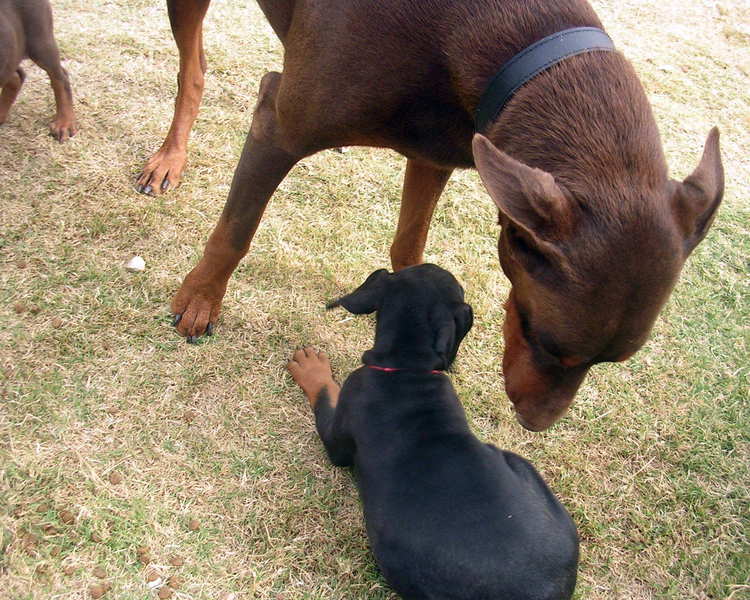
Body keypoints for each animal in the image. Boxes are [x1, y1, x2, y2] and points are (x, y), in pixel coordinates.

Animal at [163, 0, 724, 432]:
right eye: (540, 336)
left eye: (613, 361)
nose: (533, 424)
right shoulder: (279, 126)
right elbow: (236, 229)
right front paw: (201, 299)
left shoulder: (435, 150)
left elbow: (409, 244)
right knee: (192, 69)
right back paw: (168, 160)